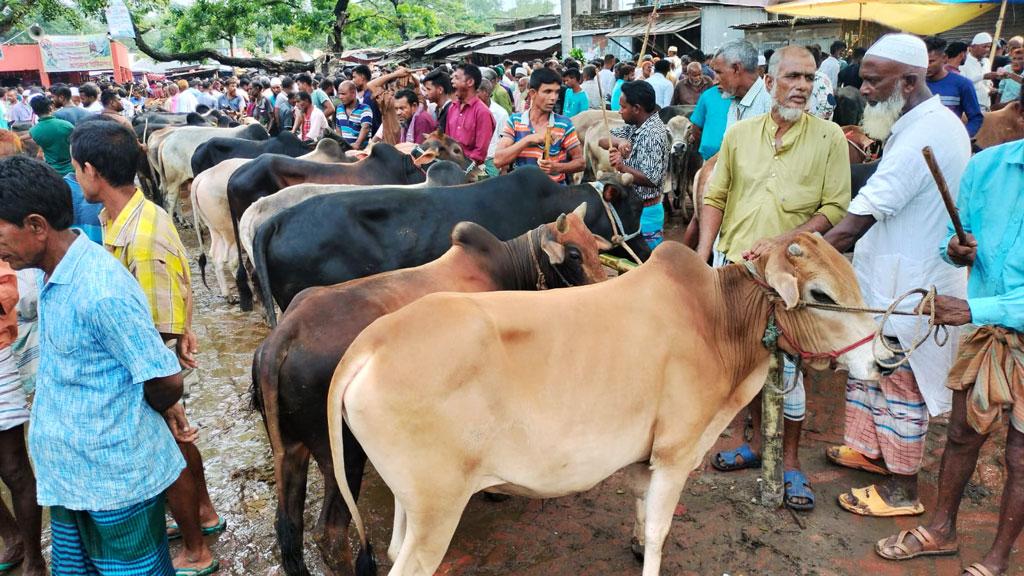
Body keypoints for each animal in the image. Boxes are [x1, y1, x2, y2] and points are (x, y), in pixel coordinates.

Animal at [192, 138, 352, 301]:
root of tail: (202, 177)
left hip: (216, 228)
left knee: (216, 256)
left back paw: (229, 294)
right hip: (229, 229)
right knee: (232, 261)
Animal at [251, 206, 610, 573]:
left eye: (594, 247)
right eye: (574, 254)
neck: (510, 266)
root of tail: (283, 336)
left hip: (291, 448)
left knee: (287, 525)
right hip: (342, 454)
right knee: (330, 532)